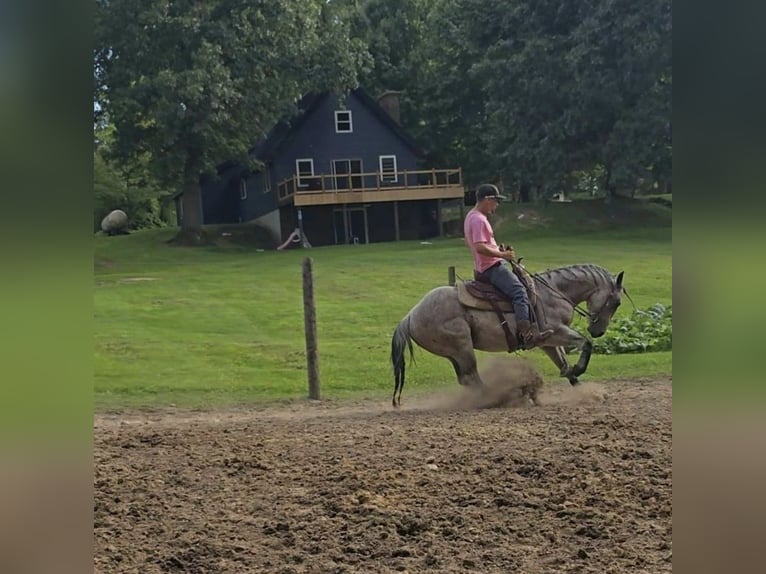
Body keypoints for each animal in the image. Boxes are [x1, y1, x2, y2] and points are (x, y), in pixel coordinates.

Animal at [392, 266, 628, 410]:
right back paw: (500, 398)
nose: (599, 331)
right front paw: (579, 370)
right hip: (463, 347)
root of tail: (410, 316)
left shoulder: (547, 341)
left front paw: (586, 391)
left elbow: (563, 363)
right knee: (472, 378)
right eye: (616, 302)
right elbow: (585, 344)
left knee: (466, 379)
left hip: (454, 353)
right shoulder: (558, 331)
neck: (553, 293)